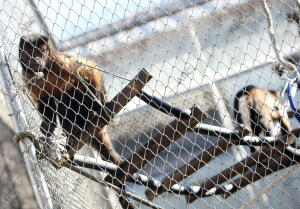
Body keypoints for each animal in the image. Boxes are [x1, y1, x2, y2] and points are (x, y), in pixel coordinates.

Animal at [19, 34, 122, 165]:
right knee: (59, 99)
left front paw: (102, 103)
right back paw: (72, 133)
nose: (35, 58)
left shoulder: (58, 61)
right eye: (29, 52)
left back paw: (95, 111)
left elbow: (87, 68)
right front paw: (49, 125)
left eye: (39, 52)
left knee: (74, 89)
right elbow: (43, 99)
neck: (45, 71)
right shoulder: (27, 76)